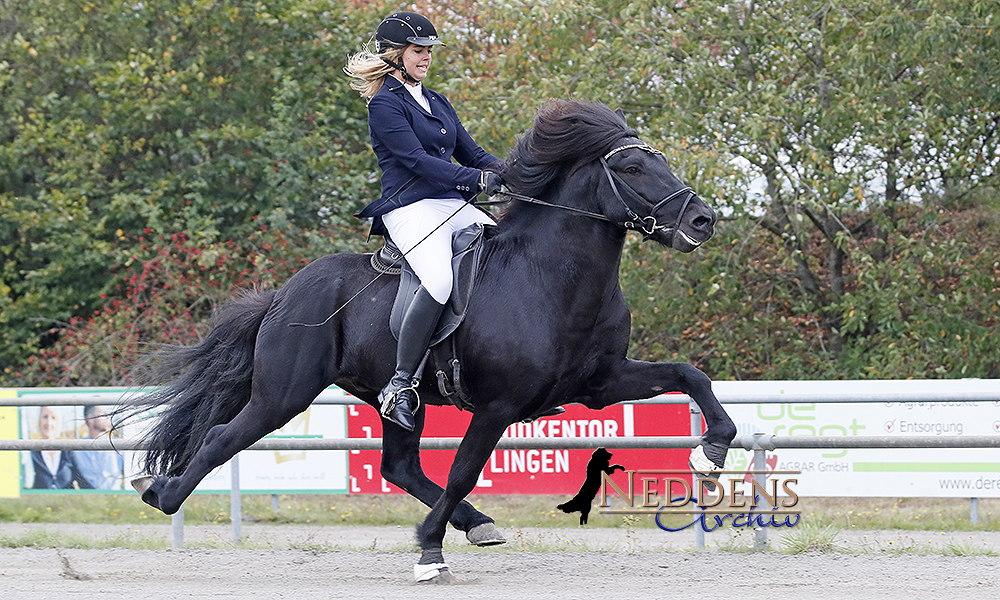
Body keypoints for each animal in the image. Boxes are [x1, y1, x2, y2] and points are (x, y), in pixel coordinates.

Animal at [127, 101, 736, 584]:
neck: (550, 276)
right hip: (284, 393)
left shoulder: (601, 383)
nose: (702, 221)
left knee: (399, 467)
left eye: (660, 161)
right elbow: (463, 470)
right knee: (223, 437)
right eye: (633, 167)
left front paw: (711, 451)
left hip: (396, 400)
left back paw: (478, 524)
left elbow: (690, 375)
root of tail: (284, 293)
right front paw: (428, 553)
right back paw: (163, 494)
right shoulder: (498, 406)